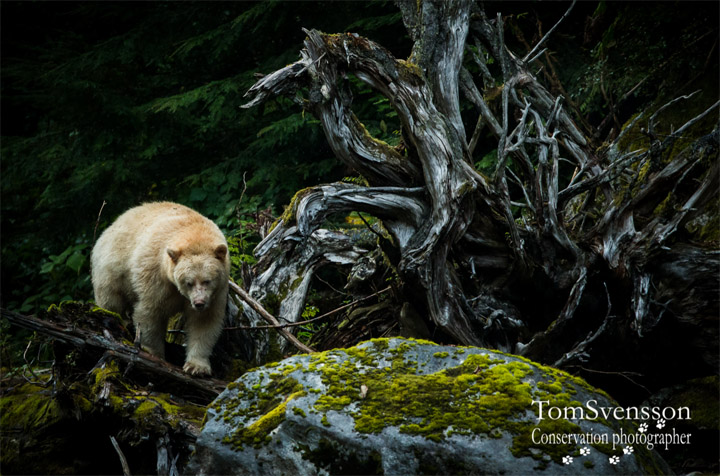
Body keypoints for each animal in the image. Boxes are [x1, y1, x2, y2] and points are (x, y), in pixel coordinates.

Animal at [91, 201, 230, 376]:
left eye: (207, 281)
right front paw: (154, 354)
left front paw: (196, 366)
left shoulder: (216, 293)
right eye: (188, 282)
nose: (199, 303)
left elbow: (204, 322)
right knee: (111, 301)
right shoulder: (156, 275)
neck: (193, 231)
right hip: (112, 271)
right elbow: (150, 313)